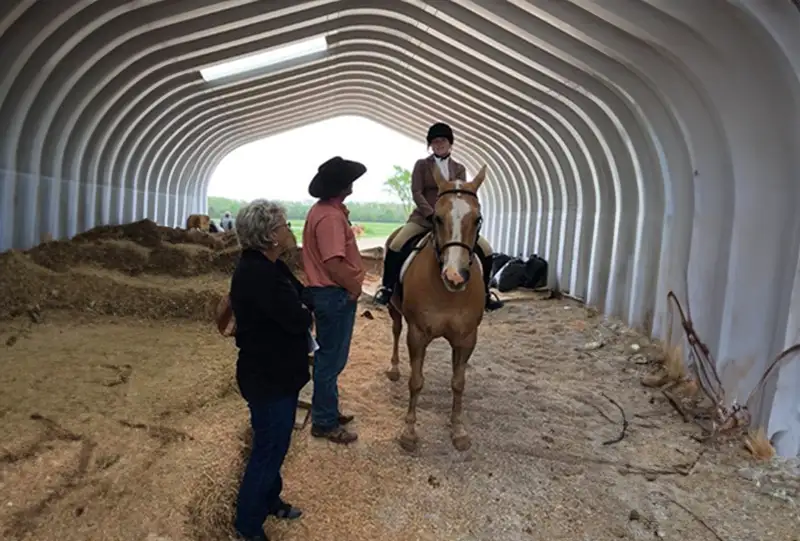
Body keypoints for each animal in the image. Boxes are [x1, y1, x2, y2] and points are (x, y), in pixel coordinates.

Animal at [382, 162, 488, 450]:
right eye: (437, 218)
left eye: (478, 219)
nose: (455, 276)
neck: (447, 292)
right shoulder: (418, 334)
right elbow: (416, 381)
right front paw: (409, 432)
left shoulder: (467, 338)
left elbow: (458, 383)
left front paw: (458, 429)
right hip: (395, 312)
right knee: (395, 331)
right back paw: (394, 368)